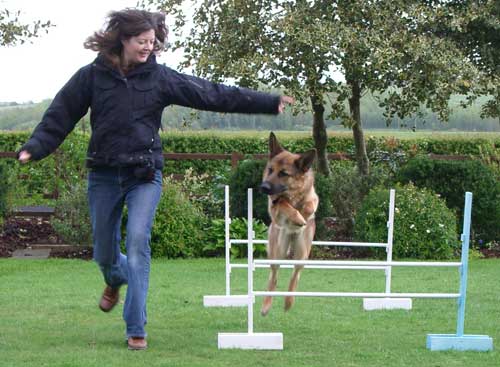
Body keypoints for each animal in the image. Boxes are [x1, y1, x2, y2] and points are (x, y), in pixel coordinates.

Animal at [260, 132, 318, 316]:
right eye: (270, 170)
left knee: (295, 275)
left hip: (302, 253)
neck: (292, 193)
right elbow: (283, 204)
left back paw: (288, 301)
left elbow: (309, 204)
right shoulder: (274, 208)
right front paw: (297, 217)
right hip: (277, 251)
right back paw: (266, 305)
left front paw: (304, 215)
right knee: (273, 277)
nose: (263, 187)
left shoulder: (313, 197)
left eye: (283, 173)